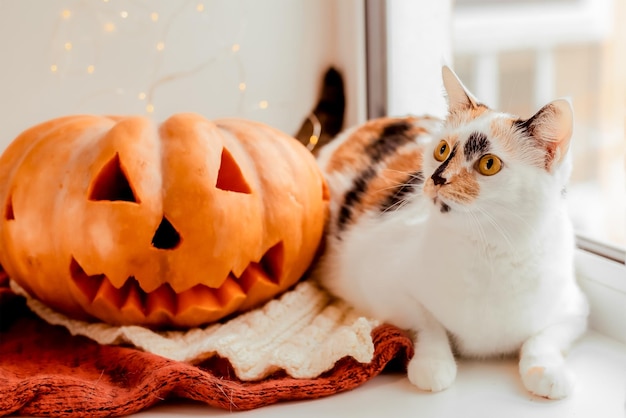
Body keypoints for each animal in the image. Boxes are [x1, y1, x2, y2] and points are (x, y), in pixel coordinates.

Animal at [314, 65, 588, 398]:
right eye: (442, 149)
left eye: (488, 164)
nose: (436, 177)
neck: (490, 251)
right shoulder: (377, 281)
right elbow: (425, 322)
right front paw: (433, 364)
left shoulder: (575, 307)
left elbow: (542, 339)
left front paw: (548, 371)